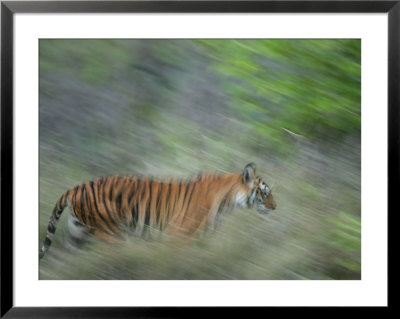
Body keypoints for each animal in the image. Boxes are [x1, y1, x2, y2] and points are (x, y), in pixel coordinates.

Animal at [39, 164, 276, 258]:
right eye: (265, 193)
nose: (275, 207)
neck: (227, 203)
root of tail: (74, 188)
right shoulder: (178, 236)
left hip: (77, 235)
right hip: (112, 235)